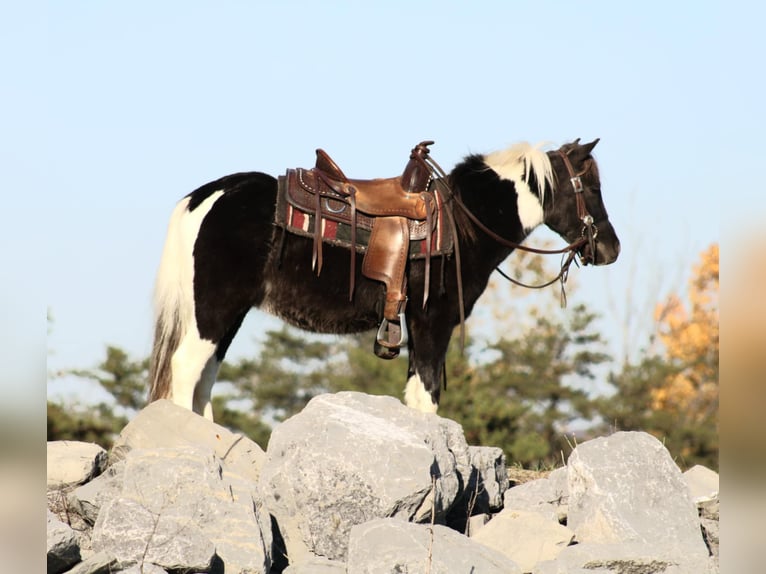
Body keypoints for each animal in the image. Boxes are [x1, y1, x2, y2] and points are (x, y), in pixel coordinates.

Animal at [150, 137, 624, 420]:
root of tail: (205, 196)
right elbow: (427, 397)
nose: (611, 249)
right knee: (186, 368)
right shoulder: (433, 322)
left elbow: (415, 395)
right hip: (214, 309)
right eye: (592, 188)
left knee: (204, 379)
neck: (462, 222)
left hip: (226, 316)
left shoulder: (417, 326)